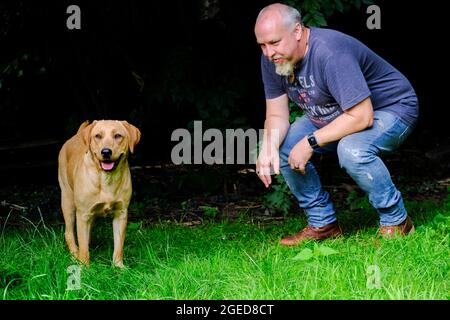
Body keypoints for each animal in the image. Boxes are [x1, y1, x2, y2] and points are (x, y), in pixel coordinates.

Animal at [58, 120, 140, 268]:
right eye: (97, 136)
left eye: (118, 136)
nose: (106, 152)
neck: (106, 178)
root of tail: (77, 134)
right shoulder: (83, 214)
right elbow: (83, 245)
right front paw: (84, 267)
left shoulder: (121, 213)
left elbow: (119, 245)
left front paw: (118, 266)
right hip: (67, 201)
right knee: (69, 233)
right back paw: (75, 255)